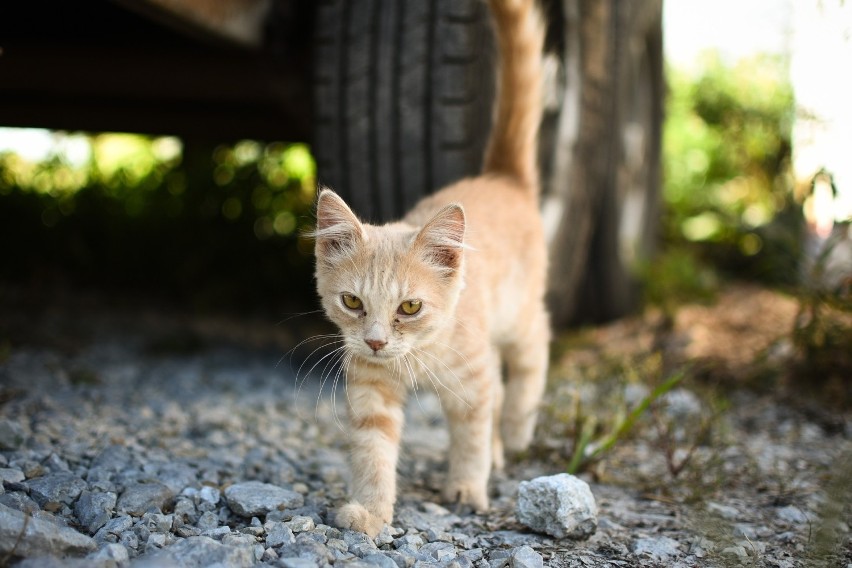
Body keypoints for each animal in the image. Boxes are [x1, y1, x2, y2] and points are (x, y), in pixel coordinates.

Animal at [312, 0, 544, 536]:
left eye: (410, 307)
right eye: (352, 302)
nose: (376, 342)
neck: (415, 358)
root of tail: (501, 177)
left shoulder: (471, 381)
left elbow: (471, 437)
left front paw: (467, 488)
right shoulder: (371, 390)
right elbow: (373, 452)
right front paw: (372, 511)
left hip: (518, 314)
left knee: (533, 351)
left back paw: (517, 429)